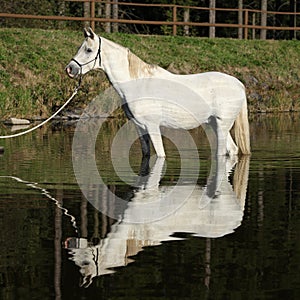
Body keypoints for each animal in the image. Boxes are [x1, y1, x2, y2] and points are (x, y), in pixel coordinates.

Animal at [66, 28, 251, 158]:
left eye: (88, 50)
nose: (70, 69)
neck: (138, 85)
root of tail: (239, 84)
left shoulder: (153, 126)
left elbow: (161, 156)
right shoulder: (140, 127)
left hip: (222, 125)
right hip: (214, 124)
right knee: (232, 150)